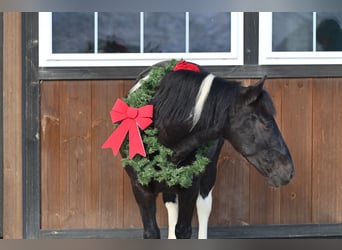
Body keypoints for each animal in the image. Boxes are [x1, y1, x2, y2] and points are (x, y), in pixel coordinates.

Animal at [121, 59, 294, 239]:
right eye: (264, 123)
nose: (288, 171)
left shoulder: (189, 186)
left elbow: (183, 229)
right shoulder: (140, 188)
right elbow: (152, 232)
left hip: (208, 171)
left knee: (203, 206)